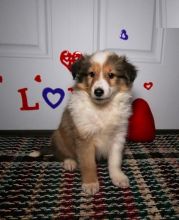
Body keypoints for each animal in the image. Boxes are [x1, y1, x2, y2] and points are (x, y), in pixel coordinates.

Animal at [31, 50, 137, 195]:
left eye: (111, 75)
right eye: (91, 74)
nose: (98, 92)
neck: (102, 108)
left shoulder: (118, 136)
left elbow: (115, 161)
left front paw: (118, 177)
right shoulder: (84, 137)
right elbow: (88, 164)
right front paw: (90, 183)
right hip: (58, 135)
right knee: (61, 154)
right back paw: (69, 162)